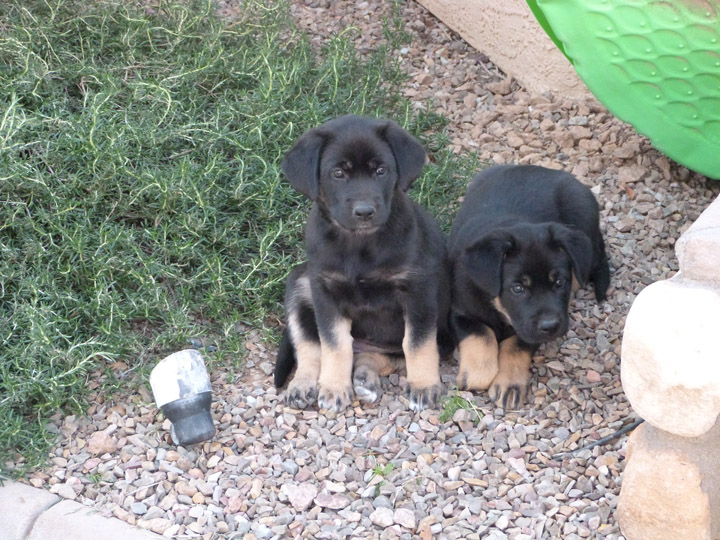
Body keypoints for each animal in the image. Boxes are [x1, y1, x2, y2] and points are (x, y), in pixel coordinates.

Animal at [272, 116, 452, 414]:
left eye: (381, 170)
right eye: (338, 173)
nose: (365, 212)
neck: (360, 244)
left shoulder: (418, 290)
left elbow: (417, 343)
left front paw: (424, 386)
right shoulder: (325, 290)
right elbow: (334, 344)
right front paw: (334, 387)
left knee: (384, 355)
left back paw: (365, 377)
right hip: (299, 281)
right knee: (310, 347)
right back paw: (303, 384)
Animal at [450, 165, 608, 410]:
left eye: (559, 282)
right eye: (517, 288)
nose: (551, 326)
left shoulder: (528, 329)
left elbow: (515, 345)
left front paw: (510, 383)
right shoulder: (460, 310)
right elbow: (481, 333)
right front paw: (475, 374)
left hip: (582, 212)